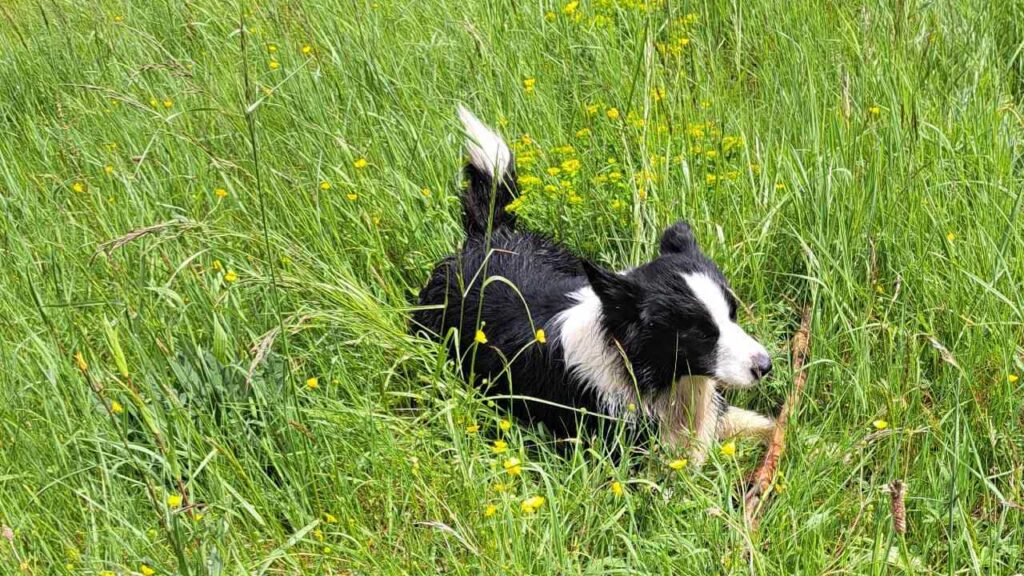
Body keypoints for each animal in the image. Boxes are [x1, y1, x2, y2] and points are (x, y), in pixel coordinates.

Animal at [411, 107, 770, 463]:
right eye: (700, 333)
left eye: (732, 314)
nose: (765, 366)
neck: (632, 364)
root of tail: (486, 237)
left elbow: (767, 425)